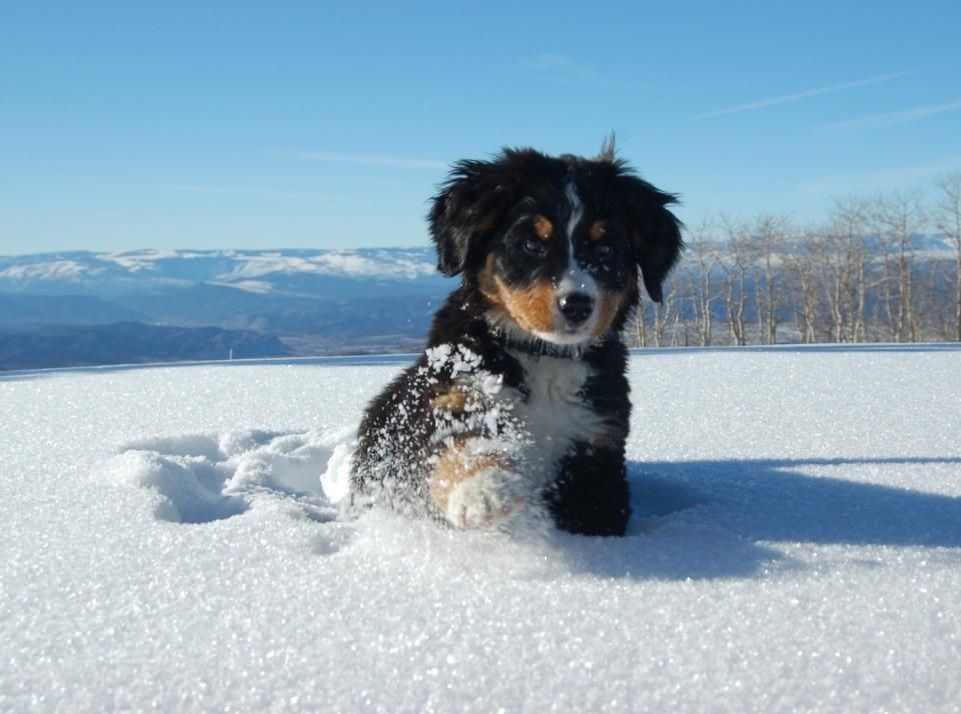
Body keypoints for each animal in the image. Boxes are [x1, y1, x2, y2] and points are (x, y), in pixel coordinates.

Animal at [348, 145, 680, 536]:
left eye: (606, 249)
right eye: (531, 243)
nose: (577, 305)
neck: (544, 357)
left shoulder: (597, 444)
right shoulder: (451, 398)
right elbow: (459, 445)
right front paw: (485, 490)